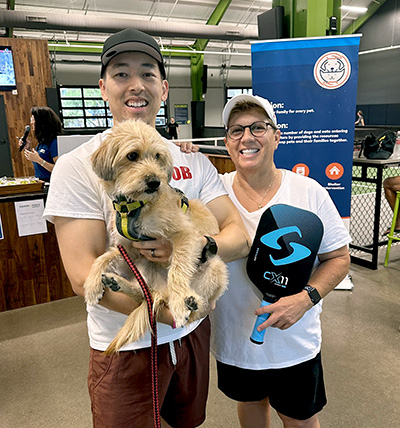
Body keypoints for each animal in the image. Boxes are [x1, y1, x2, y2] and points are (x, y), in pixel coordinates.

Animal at [84, 119, 228, 354]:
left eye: (157, 156)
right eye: (132, 155)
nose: (154, 182)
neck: (134, 206)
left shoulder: (185, 235)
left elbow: (177, 268)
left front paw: (180, 302)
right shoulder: (130, 249)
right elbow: (102, 257)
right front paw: (92, 283)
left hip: (216, 265)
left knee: (196, 307)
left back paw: (188, 301)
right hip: (145, 266)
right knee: (147, 293)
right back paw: (118, 283)